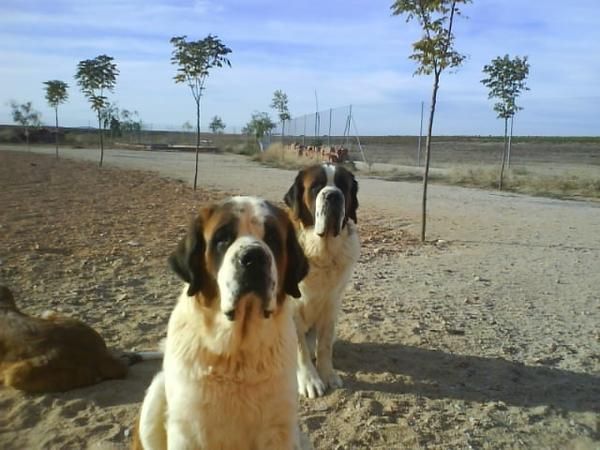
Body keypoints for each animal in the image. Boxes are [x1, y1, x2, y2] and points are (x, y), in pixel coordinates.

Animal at [132, 196, 310, 450]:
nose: (254, 257)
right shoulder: (187, 431)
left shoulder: (280, 430)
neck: (237, 353)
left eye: (273, 239)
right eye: (222, 239)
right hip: (156, 393)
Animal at [284, 163, 360, 398]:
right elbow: (299, 348)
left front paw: (327, 375)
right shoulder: (292, 309)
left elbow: (325, 344)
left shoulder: (331, 304)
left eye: (343, 186)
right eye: (316, 187)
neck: (321, 252)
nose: (333, 196)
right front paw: (310, 380)